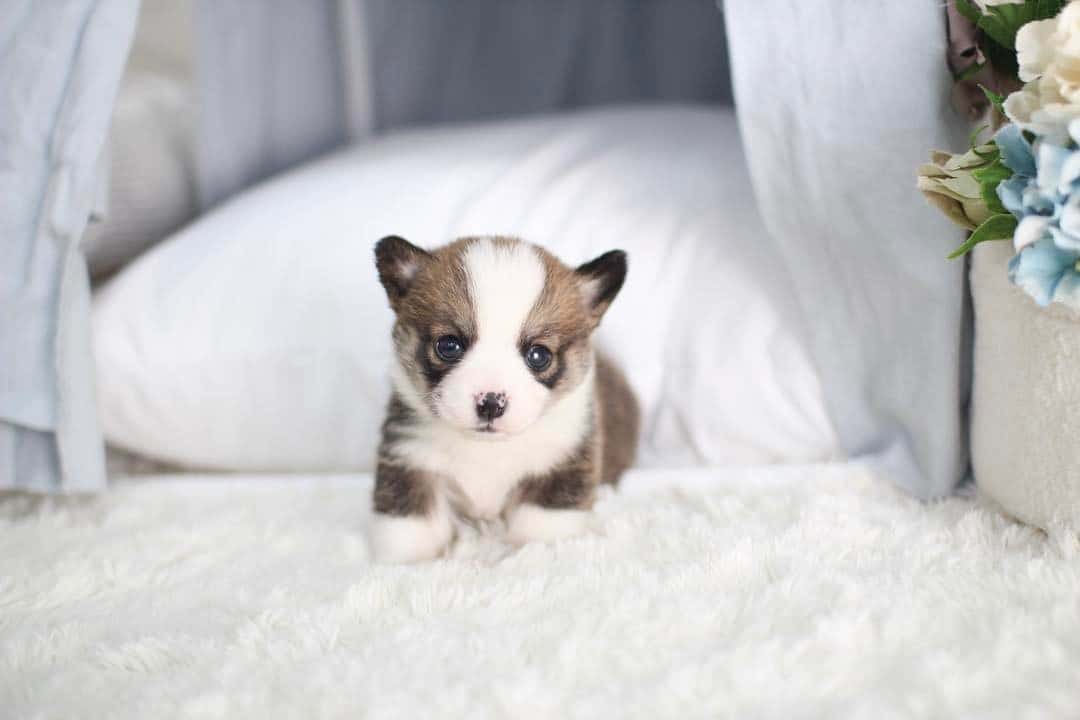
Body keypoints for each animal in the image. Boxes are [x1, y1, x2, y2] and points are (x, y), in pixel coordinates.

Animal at [371, 236, 639, 561]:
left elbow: (540, 530)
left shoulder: (561, 465)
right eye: (448, 345)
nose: (491, 403)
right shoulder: (411, 458)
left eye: (538, 355)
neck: (488, 449)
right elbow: (410, 525)